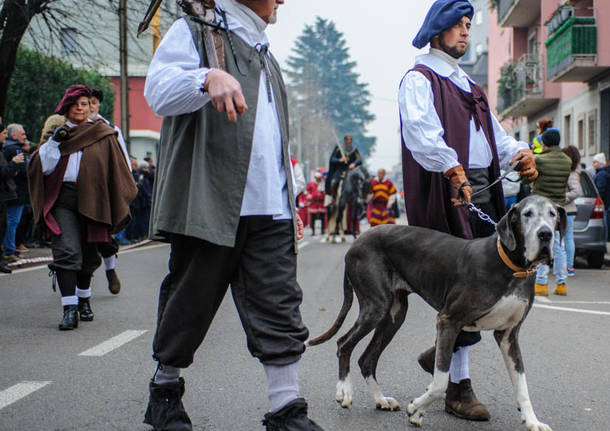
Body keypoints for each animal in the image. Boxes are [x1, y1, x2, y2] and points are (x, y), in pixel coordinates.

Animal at [308, 197, 564, 431]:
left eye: (552, 214)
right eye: (527, 214)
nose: (545, 235)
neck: (512, 267)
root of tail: (356, 242)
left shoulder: (508, 336)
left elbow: (522, 385)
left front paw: (532, 421)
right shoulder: (448, 321)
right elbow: (440, 381)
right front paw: (416, 409)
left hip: (394, 315)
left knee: (367, 358)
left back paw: (380, 399)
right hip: (376, 307)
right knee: (343, 343)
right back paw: (344, 392)